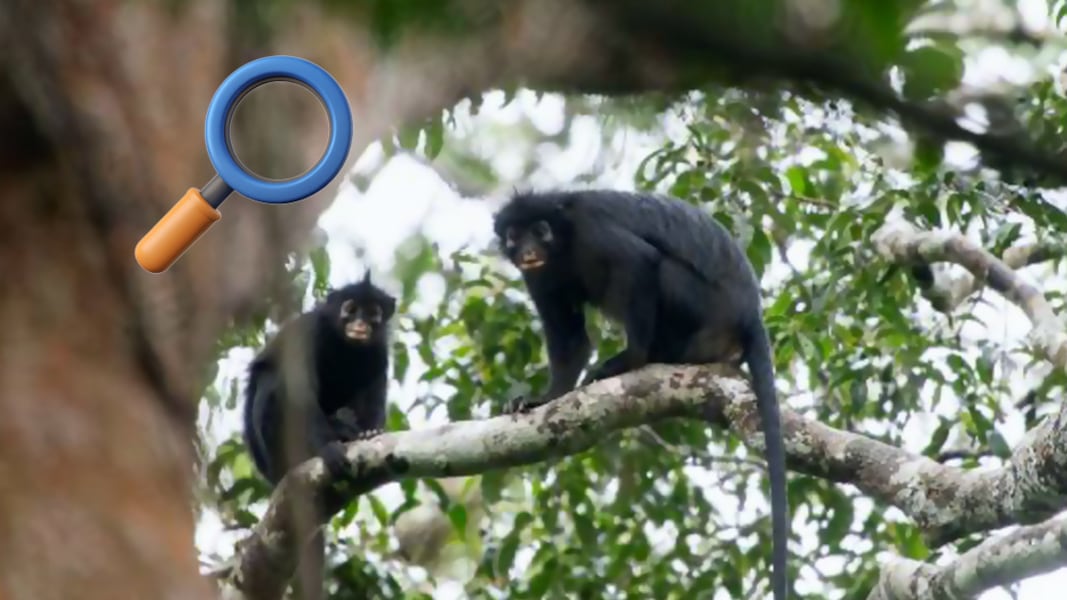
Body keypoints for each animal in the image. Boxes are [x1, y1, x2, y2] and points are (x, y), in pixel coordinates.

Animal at [242, 270, 396, 600]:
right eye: (350, 309)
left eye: (373, 313)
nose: (360, 325)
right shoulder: (308, 335)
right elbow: (301, 397)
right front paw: (330, 449)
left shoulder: (379, 353)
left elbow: (374, 392)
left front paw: (370, 431)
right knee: (273, 380)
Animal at [492, 189, 789, 600]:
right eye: (514, 236)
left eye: (540, 230)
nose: (529, 249)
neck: (564, 242)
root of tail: (749, 314)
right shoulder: (538, 275)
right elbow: (570, 340)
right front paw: (545, 398)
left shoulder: (592, 230)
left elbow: (639, 262)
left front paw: (631, 358)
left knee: (660, 269)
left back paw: (649, 356)